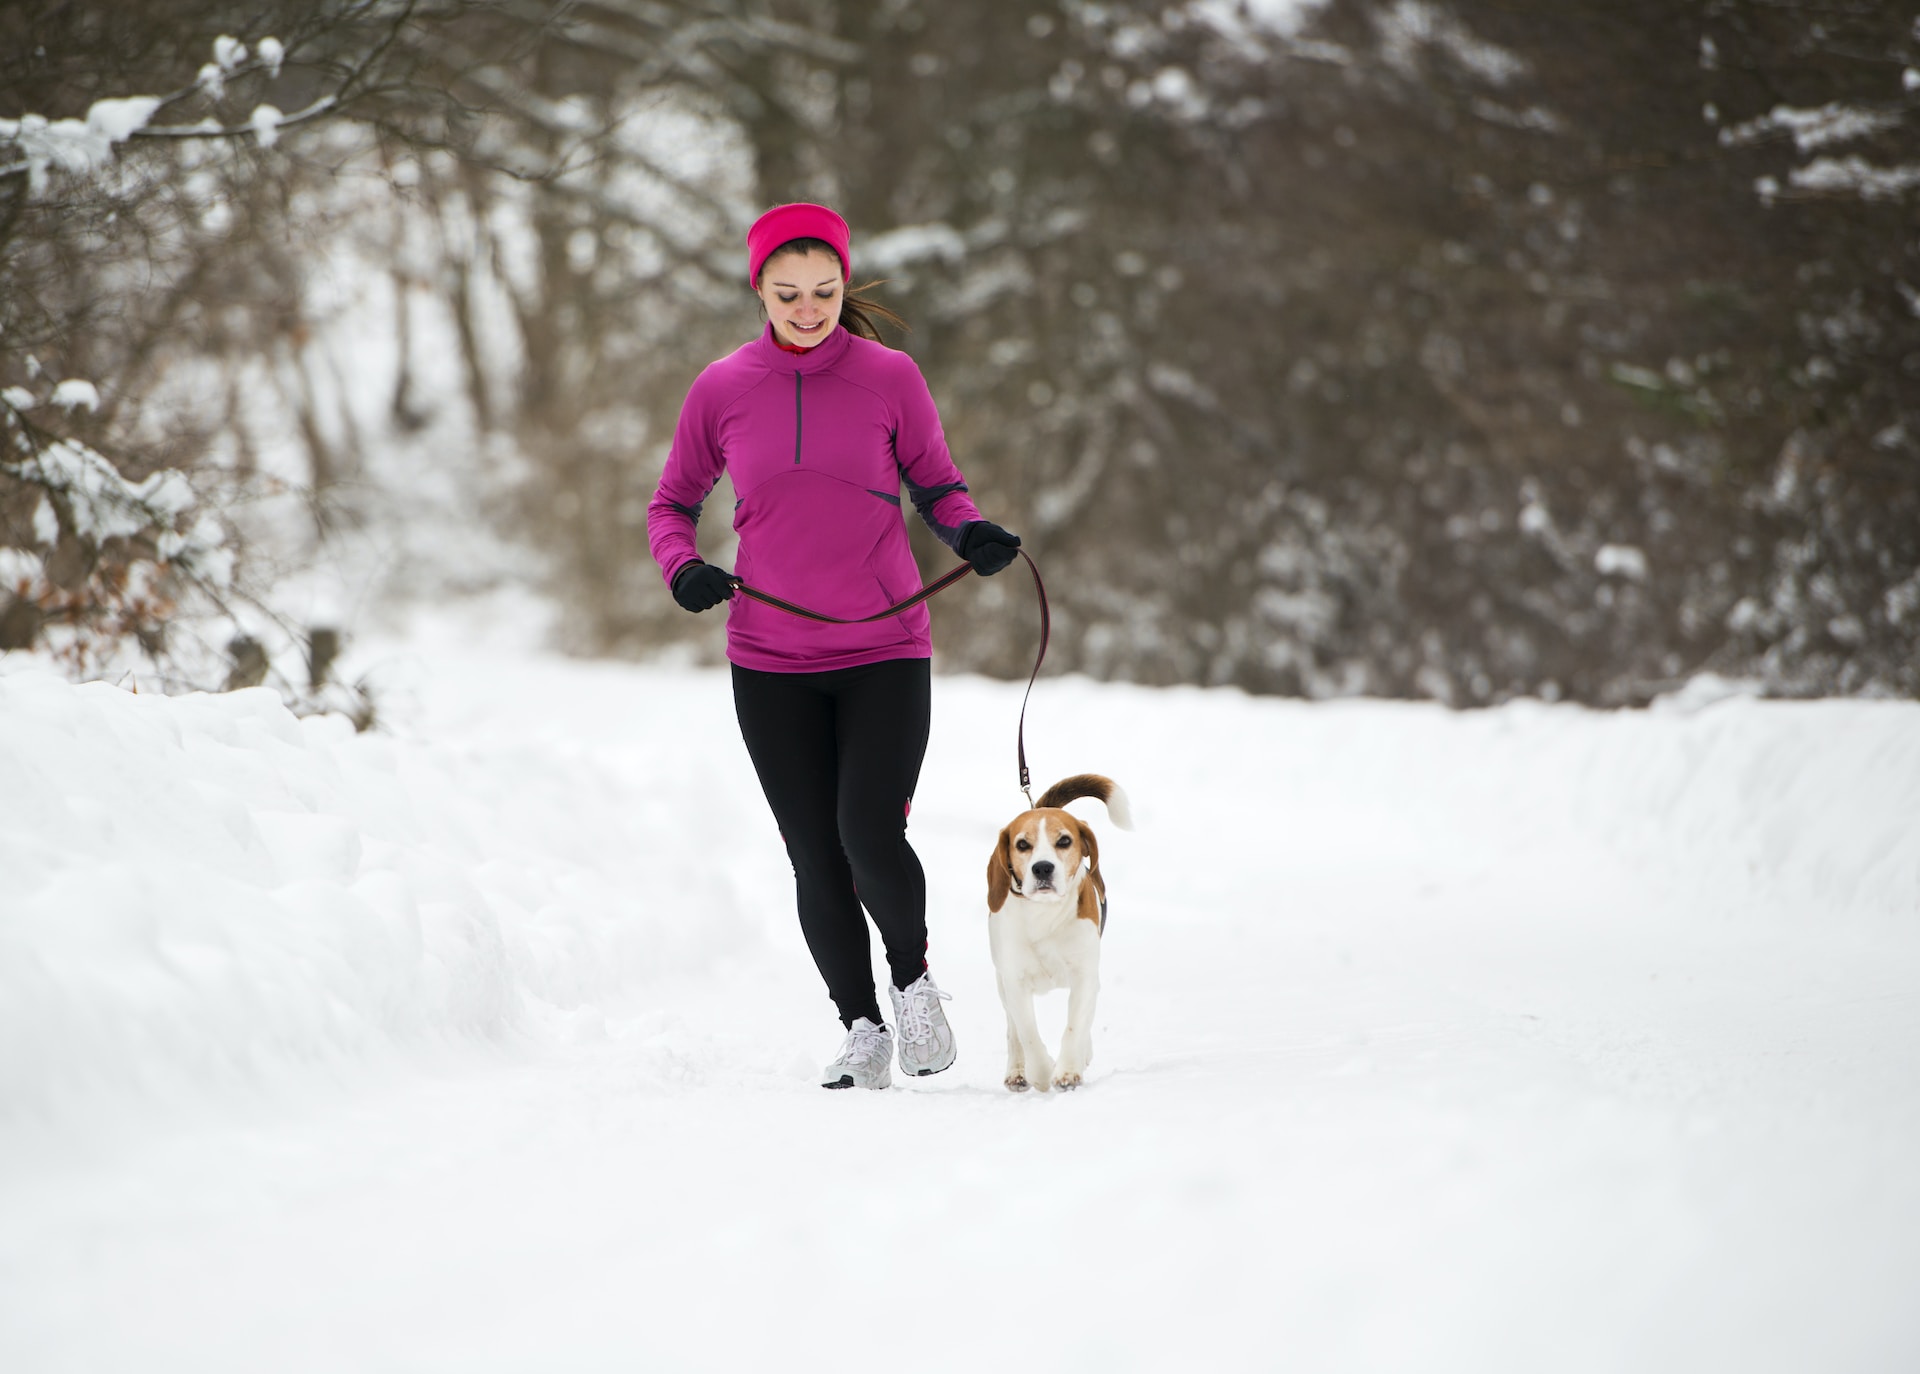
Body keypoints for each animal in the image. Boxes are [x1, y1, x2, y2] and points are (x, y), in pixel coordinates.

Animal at [990, 771, 1121, 1097]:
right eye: (1023, 845)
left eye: (1064, 841)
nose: (1042, 868)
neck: (1043, 914)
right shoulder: (1015, 981)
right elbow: (1028, 1033)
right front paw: (1040, 1072)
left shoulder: (1084, 976)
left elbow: (1075, 1027)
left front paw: (1068, 1072)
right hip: (1001, 980)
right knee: (1013, 1031)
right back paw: (1017, 1071)